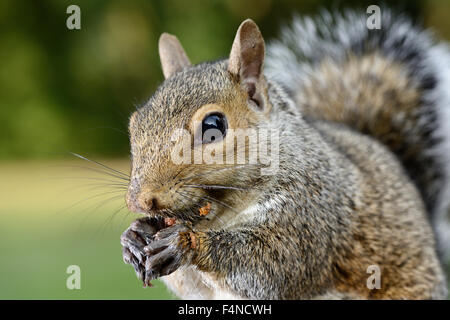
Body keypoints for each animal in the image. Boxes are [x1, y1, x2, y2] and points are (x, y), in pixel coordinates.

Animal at [119, 10, 450, 300]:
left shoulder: (313, 212)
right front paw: (135, 236)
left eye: (214, 125)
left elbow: (274, 263)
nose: (142, 200)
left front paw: (185, 242)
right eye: (135, 123)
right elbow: (191, 285)